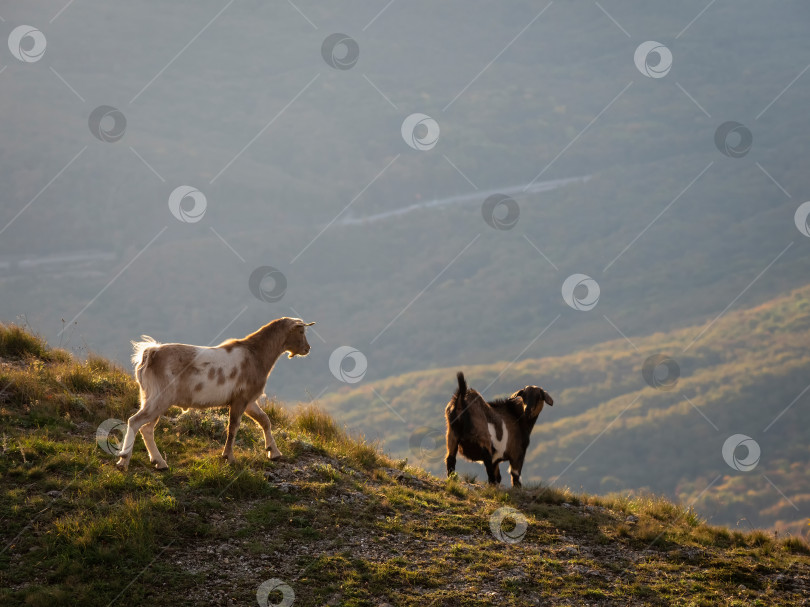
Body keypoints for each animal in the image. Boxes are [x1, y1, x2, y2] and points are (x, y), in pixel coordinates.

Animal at [115, 316, 314, 472]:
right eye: (301, 331)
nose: (307, 349)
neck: (255, 355)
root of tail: (151, 352)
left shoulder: (249, 400)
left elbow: (264, 420)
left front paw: (274, 452)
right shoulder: (240, 399)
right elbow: (233, 427)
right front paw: (229, 457)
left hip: (150, 398)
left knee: (146, 428)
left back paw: (160, 462)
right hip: (159, 398)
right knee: (135, 421)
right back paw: (123, 461)